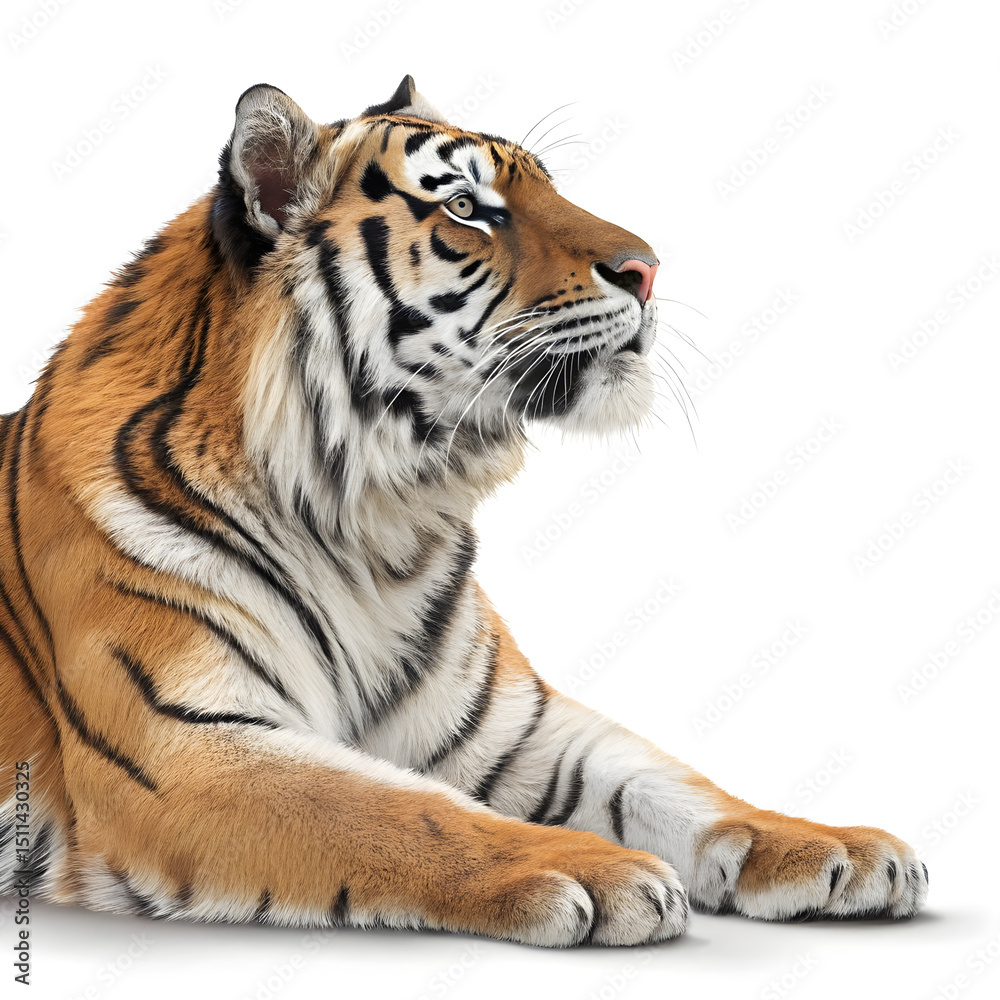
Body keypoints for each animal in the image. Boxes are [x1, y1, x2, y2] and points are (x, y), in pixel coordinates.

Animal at [0, 75, 927, 947]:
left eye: (549, 189)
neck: (375, 520)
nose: (650, 269)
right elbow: (401, 810)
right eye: (465, 209)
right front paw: (598, 871)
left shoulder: (513, 729)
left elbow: (667, 780)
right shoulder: (181, 747)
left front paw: (835, 848)